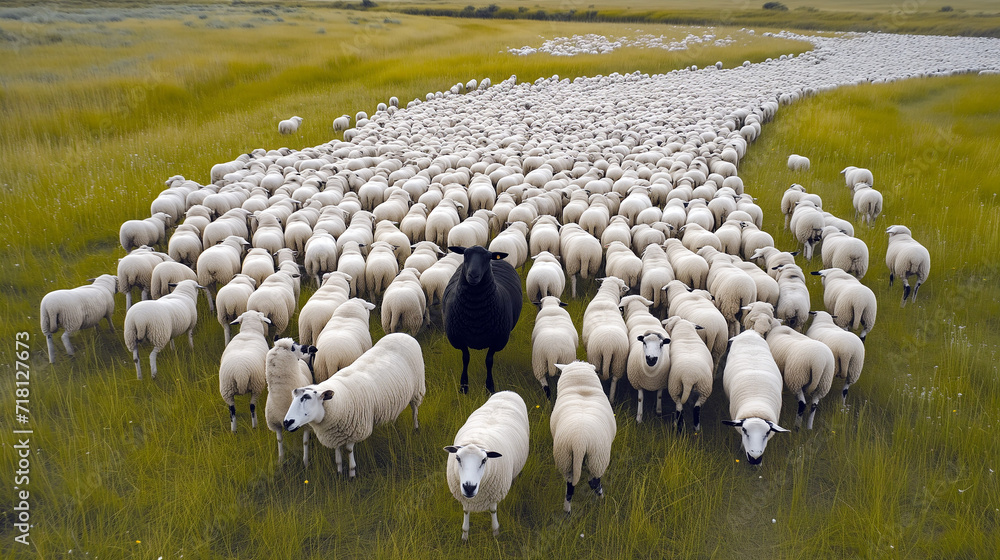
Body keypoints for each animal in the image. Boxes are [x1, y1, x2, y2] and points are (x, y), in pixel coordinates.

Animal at [265, 337, 316, 466]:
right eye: (294, 347)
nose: (311, 348)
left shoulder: (307, 424)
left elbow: (305, 442)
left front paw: (306, 463)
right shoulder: (276, 424)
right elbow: (279, 440)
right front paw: (281, 460)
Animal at [284, 333, 425, 477]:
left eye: (307, 398)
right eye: (293, 399)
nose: (287, 422)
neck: (339, 401)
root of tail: (402, 334)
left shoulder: (354, 429)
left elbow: (349, 451)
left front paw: (352, 475)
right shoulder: (334, 434)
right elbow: (338, 457)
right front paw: (339, 473)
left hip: (417, 388)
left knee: (415, 409)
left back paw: (416, 429)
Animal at [443, 245, 523, 394]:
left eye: (487, 258)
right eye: (465, 254)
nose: (473, 275)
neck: (475, 313)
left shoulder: (496, 340)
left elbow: (489, 361)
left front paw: (489, 388)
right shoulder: (459, 339)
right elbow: (465, 358)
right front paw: (463, 387)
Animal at [444, 391, 528, 540]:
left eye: (484, 460)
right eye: (458, 458)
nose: (469, 487)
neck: (476, 441)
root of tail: (508, 392)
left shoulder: (495, 495)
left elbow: (493, 511)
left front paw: (496, 534)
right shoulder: (465, 498)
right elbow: (466, 513)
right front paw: (464, 537)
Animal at [549, 361, 616, 513]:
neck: (581, 388)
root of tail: (579, 441)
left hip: (565, 457)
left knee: (569, 486)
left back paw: (567, 511)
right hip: (598, 458)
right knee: (593, 482)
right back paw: (601, 501)